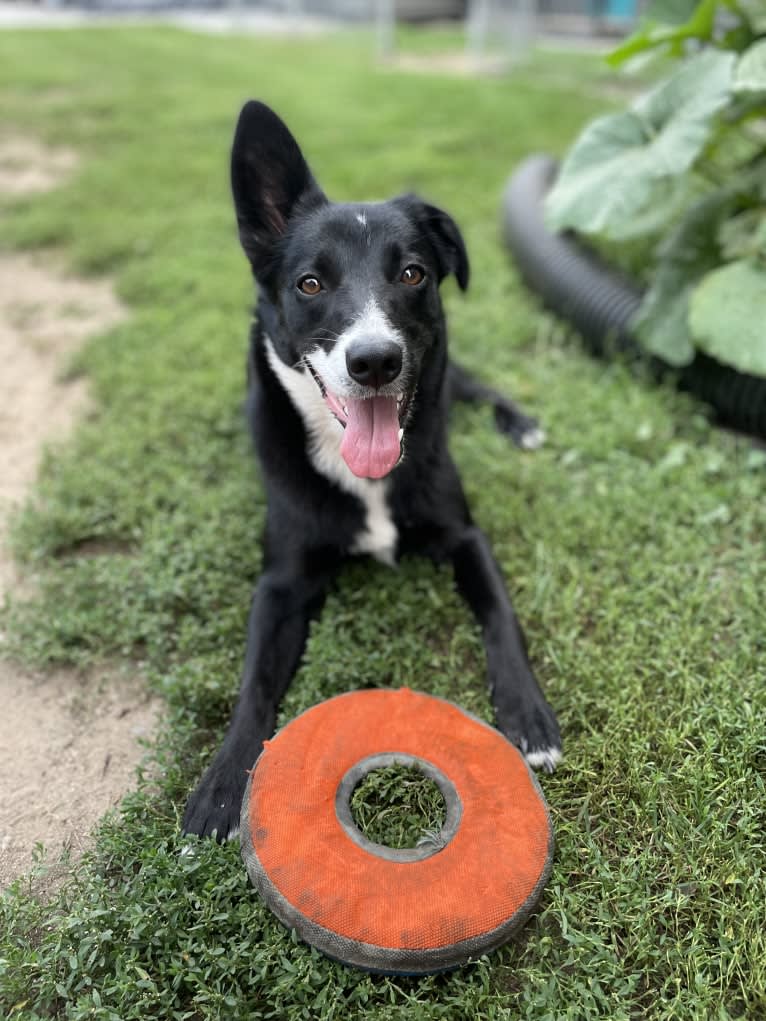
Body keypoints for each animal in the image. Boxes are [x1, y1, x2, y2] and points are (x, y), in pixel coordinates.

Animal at [182, 99, 559, 841]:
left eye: (412, 273)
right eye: (310, 283)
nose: (376, 361)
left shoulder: (465, 537)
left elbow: (503, 617)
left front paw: (528, 713)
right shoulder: (281, 580)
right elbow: (253, 684)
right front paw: (220, 785)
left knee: (477, 386)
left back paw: (520, 422)